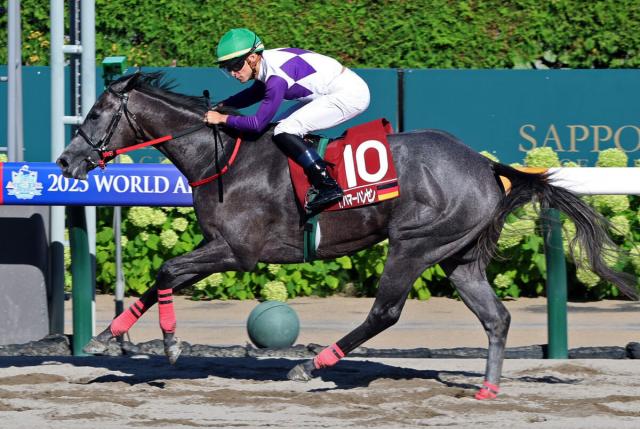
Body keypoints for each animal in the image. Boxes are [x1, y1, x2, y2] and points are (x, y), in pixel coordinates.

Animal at [56, 72, 637, 400]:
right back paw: (488, 391)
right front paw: (108, 336)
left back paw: (310, 365)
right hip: (459, 255)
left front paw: (172, 345)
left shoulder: (237, 252)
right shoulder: (217, 247)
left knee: (385, 312)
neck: (223, 157)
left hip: (413, 243)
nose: (65, 160)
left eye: (97, 112)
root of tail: (484, 165)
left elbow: (167, 269)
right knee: (496, 317)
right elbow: (161, 277)